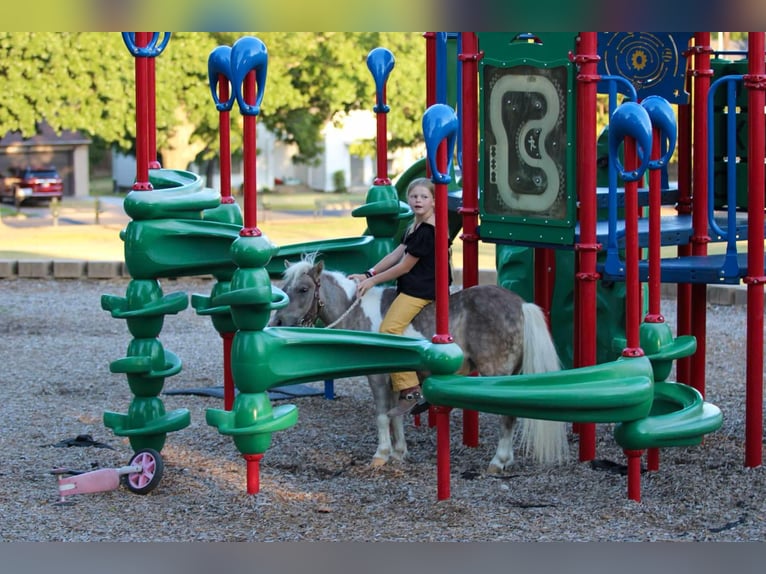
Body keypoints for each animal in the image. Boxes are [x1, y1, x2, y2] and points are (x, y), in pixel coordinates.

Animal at [272, 254, 568, 474]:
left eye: (304, 289)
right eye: (284, 289)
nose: (277, 322)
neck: (356, 310)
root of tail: (520, 304)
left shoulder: (377, 377)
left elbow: (382, 415)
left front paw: (381, 455)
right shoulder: (394, 378)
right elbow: (396, 417)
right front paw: (399, 453)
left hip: (496, 373)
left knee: (507, 418)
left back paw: (498, 461)